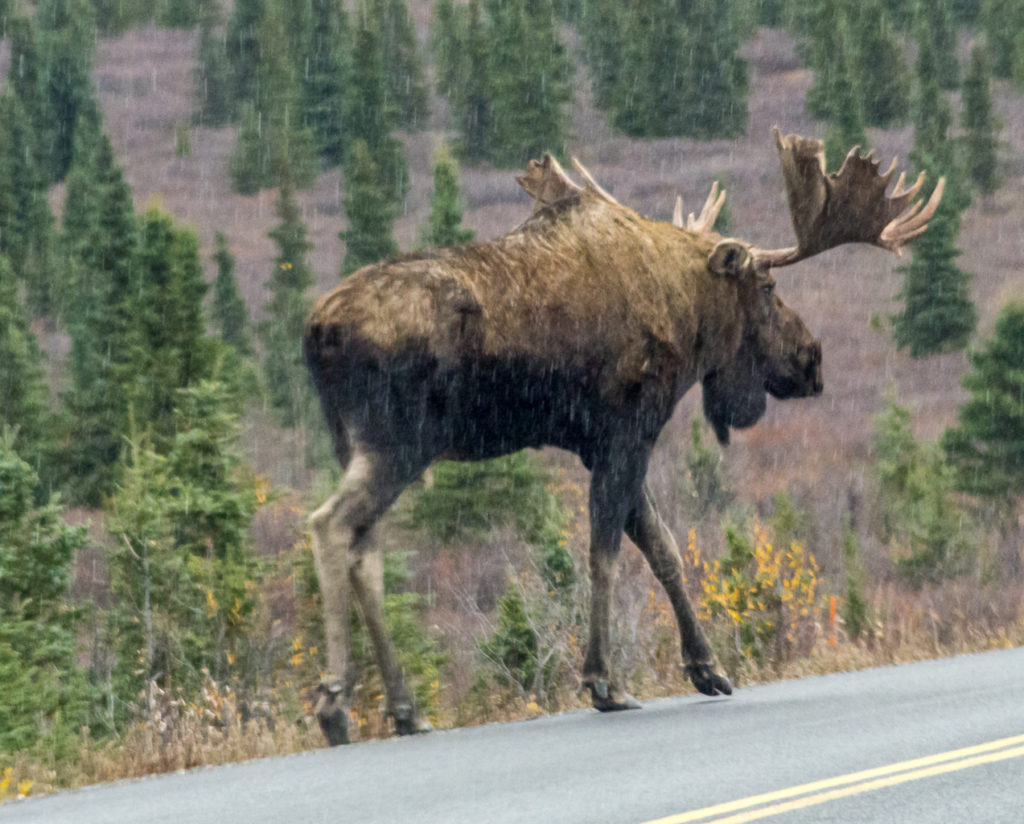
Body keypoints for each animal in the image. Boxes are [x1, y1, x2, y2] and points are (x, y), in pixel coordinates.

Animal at [301, 129, 942, 745]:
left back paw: (406, 709)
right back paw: (334, 702)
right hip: (399, 442)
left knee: (365, 551)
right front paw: (604, 681)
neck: (690, 313)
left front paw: (706, 667)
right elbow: (606, 551)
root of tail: (316, 330)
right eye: (766, 286)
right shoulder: (629, 430)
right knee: (330, 525)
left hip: (355, 443)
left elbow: (663, 548)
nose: (812, 360)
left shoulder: (600, 444)